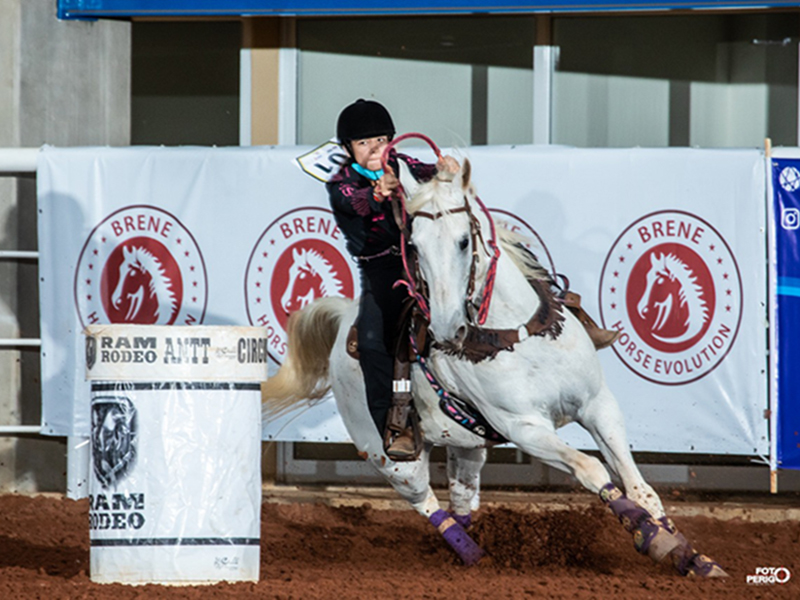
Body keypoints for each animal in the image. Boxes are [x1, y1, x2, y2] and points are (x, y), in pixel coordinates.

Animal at [266, 156, 728, 576]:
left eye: (463, 241)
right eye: (413, 245)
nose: (447, 327)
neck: (517, 336)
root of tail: (344, 319)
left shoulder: (599, 406)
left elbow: (638, 484)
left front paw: (690, 555)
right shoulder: (524, 428)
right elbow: (592, 469)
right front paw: (653, 538)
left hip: (468, 444)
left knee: (461, 493)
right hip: (387, 456)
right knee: (427, 503)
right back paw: (473, 555)